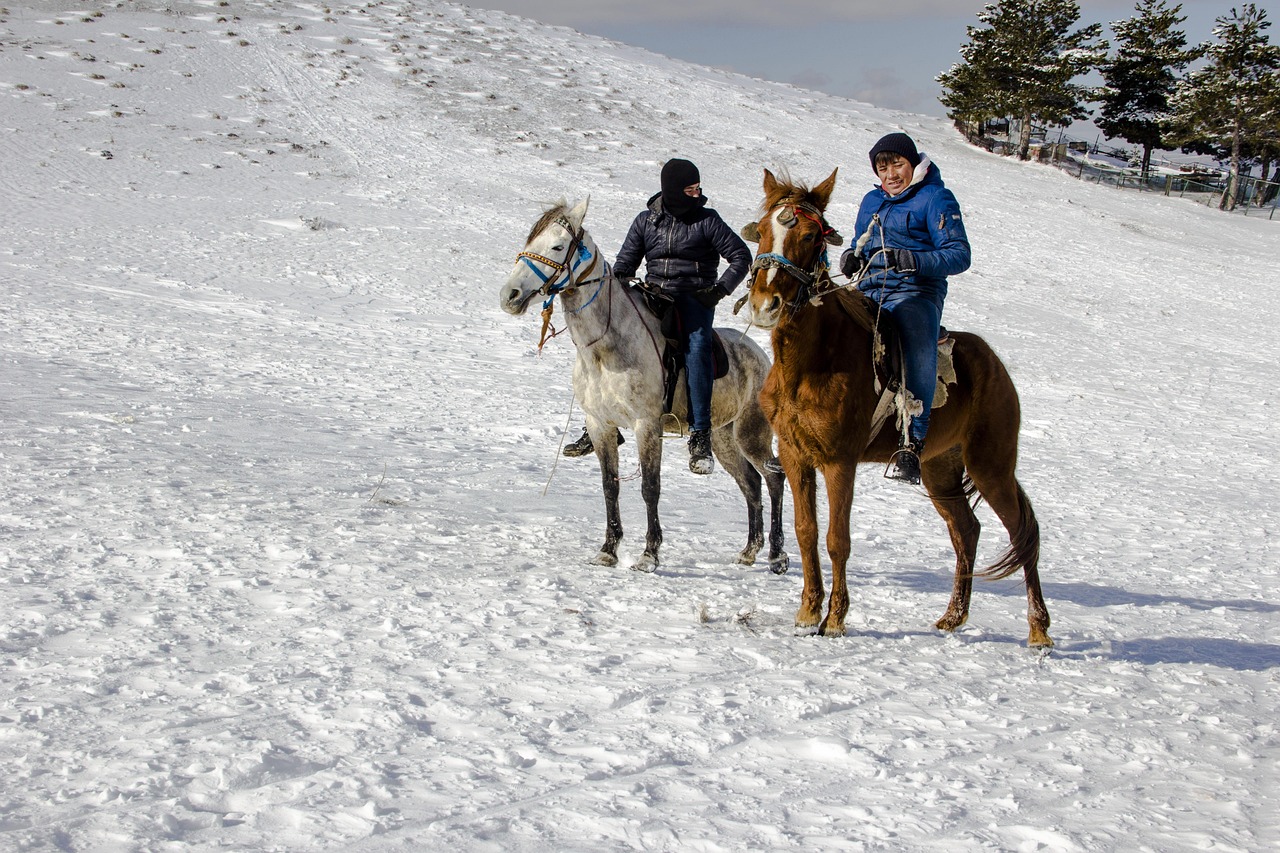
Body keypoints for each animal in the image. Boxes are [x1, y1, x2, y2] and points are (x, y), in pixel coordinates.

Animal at [499, 198, 788, 571]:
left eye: (558, 246)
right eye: (531, 240)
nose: (510, 295)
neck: (605, 349)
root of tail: (760, 356)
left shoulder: (646, 425)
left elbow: (651, 487)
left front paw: (649, 554)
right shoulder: (600, 425)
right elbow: (610, 487)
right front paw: (608, 550)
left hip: (752, 432)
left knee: (774, 478)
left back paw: (777, 556)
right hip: (725, 438)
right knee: (751, 483)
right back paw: (750, 550)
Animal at [742, 166, 1049, 645]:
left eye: (811, 236)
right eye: (761, 232)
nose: (765, 304)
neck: (813, 360)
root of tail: (995, 365)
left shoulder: (839, 462)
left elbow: (837, 539)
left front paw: (835, 619)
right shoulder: (795, 456)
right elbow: (806, 532)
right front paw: (808, 613)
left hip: (991, 467)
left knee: (1021, 534)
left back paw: (1039, 631)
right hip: (940, 469)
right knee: (967, 530)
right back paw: (953, 617)